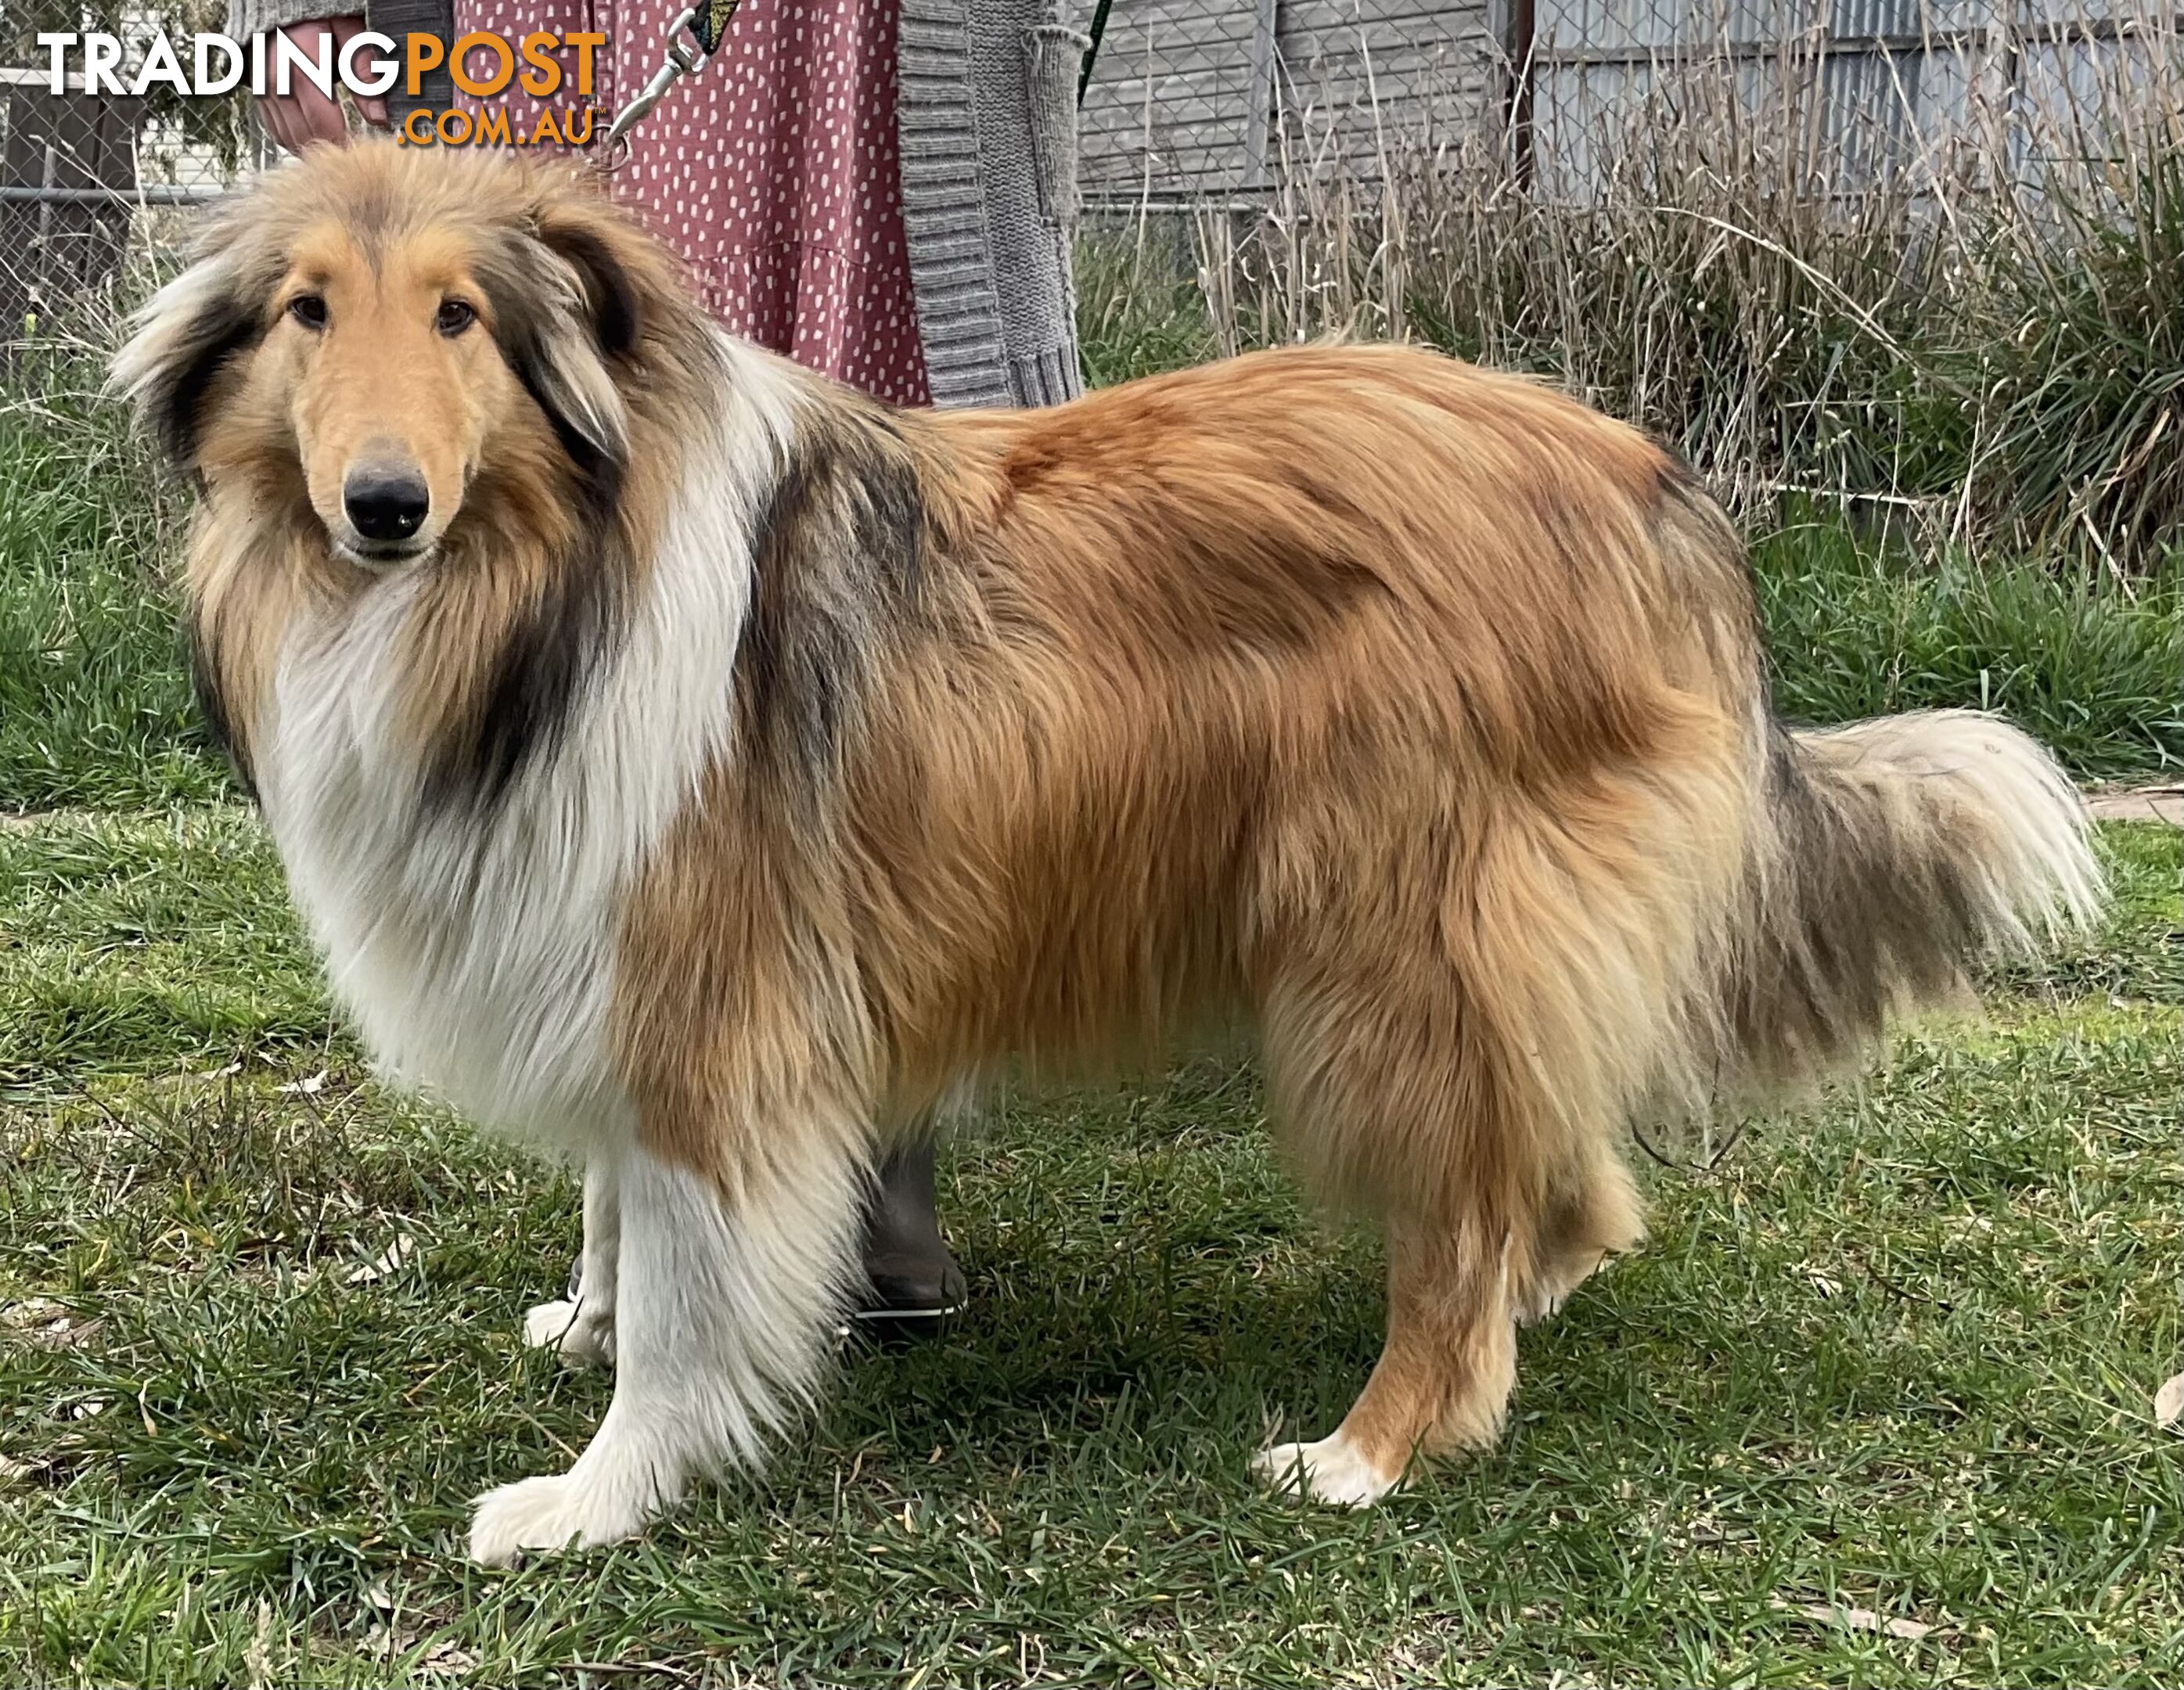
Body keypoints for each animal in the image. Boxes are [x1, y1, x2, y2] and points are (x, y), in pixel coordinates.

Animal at [115, 138, 2096, 1572]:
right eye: (305, 311)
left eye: (461, 316)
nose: (383, 506)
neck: (539, 589)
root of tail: (1657, 487)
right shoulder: (598, 939)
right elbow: (614, 1206)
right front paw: (584, 1321)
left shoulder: (711, 997)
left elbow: (685, 1289)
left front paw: (594, 1497)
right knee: (1555, 1152)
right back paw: (1539, 1284)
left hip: (1384, 953)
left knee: (1453, 1219)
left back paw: (1373, 1443)